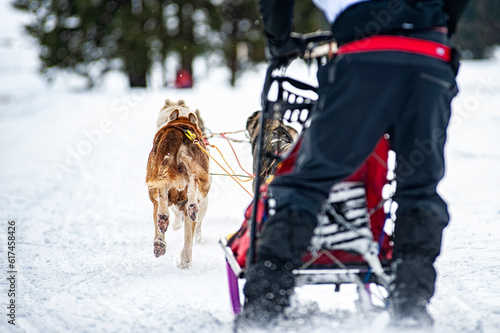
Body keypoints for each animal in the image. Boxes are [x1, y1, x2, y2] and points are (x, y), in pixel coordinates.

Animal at [146, 98, 210, 268]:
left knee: (161, 204)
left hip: (157, 179)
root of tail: (178, 132)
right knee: (193, 186)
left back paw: (161, 239)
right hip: (201, 182)